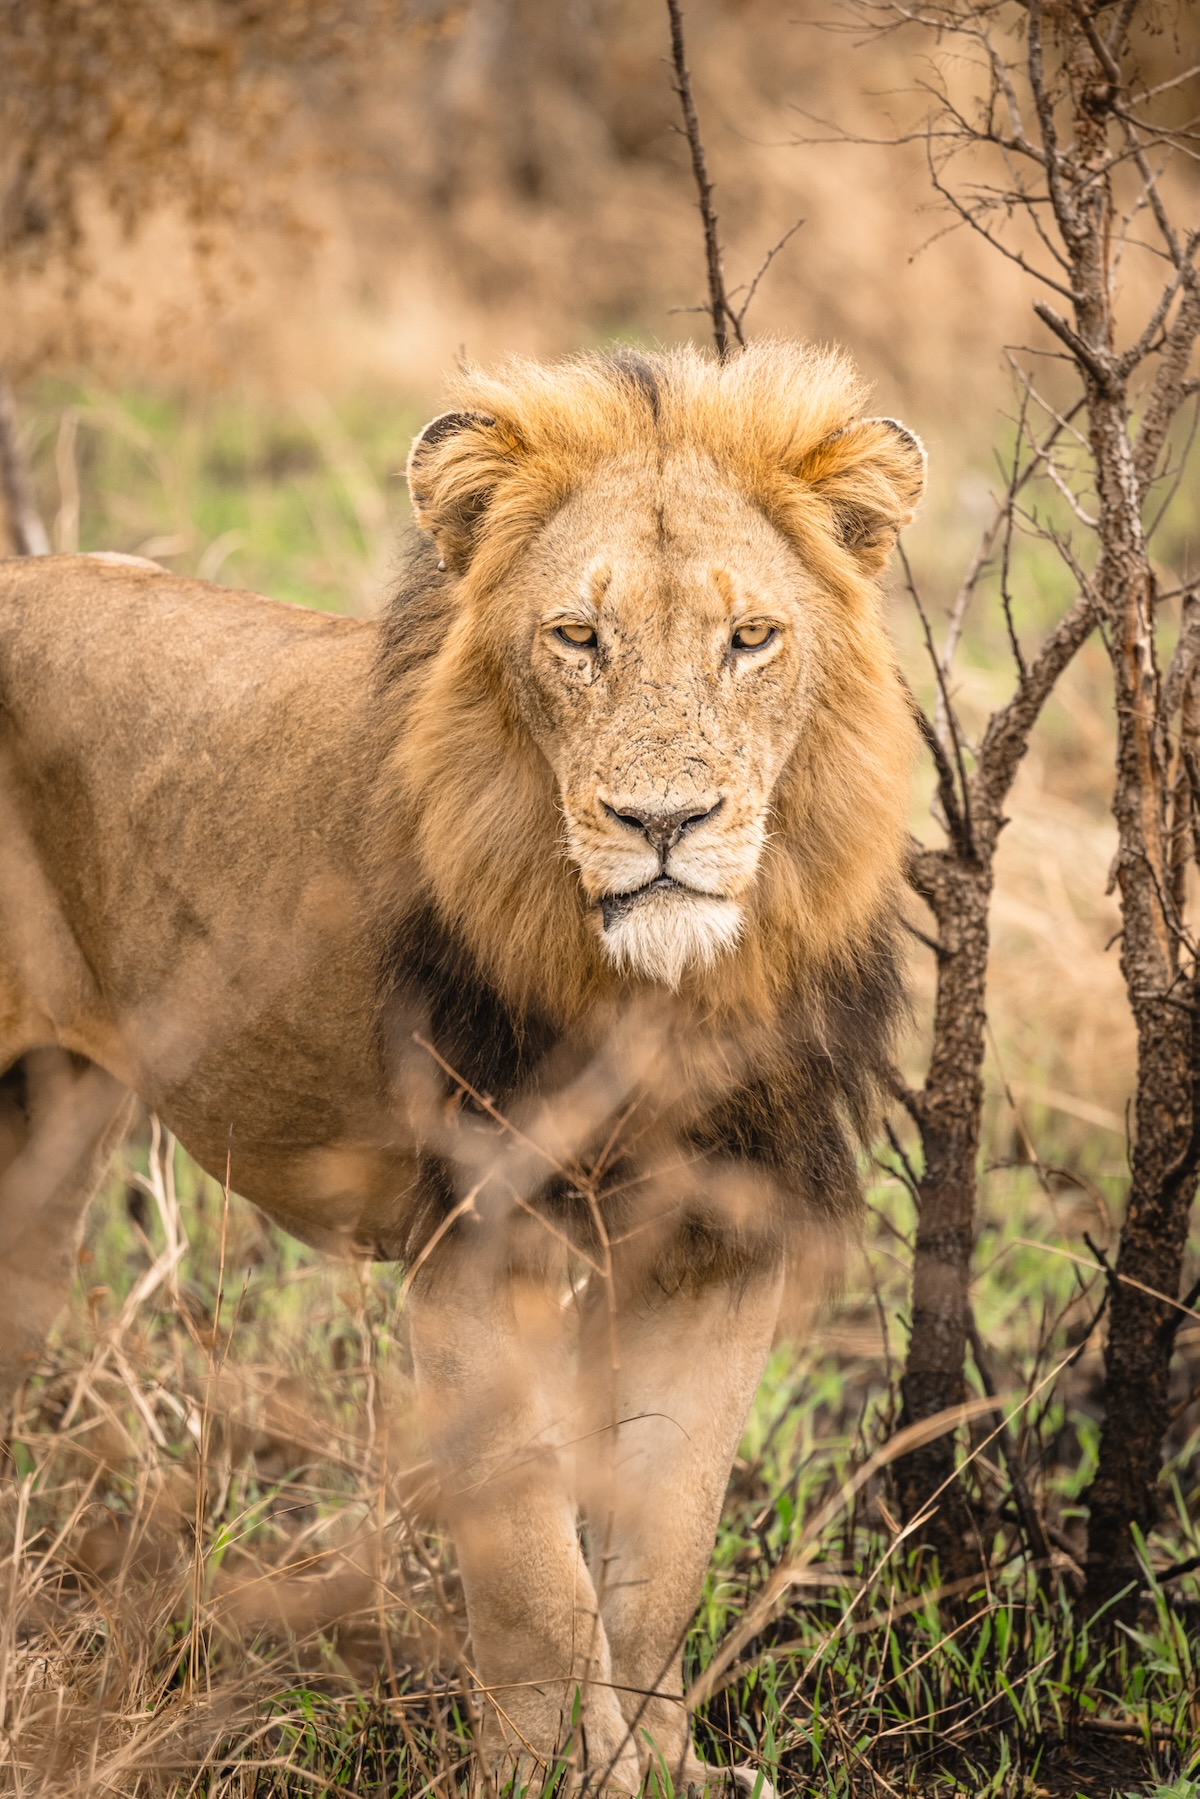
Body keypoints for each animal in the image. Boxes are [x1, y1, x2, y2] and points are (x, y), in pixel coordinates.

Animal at [0, 343, 921, 1791]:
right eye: (578, 636)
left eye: (751, 638)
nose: (664, 822)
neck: (652, 997)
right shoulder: (475, 1241)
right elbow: (538, 1579)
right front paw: (547, 1769)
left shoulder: (719, 1248)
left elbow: (660, 1559)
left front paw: (660, 1760)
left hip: (46, 1131)